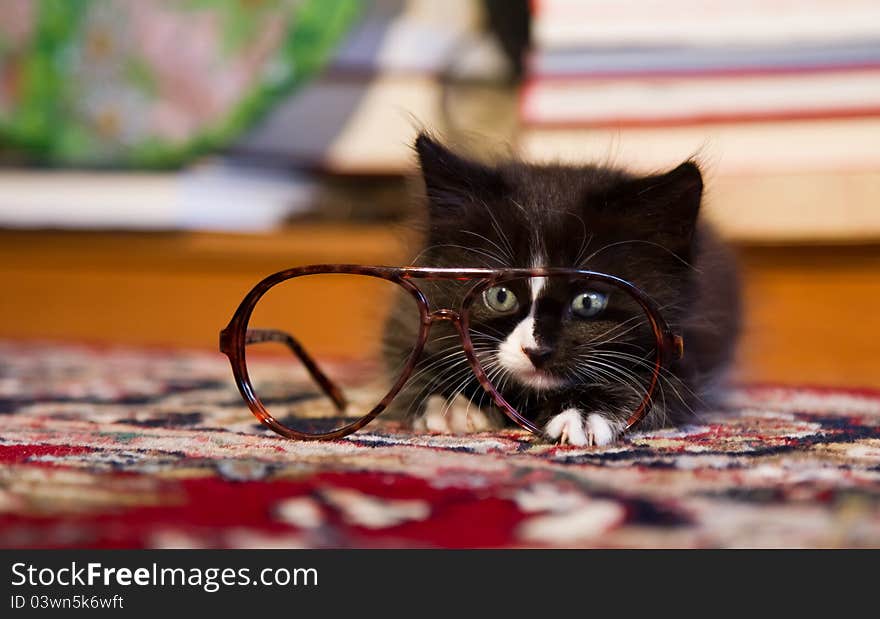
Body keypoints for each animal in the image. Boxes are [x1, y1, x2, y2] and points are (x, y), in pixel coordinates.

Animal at [382, 134, 740, 446]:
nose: (537, 351)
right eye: (500, 296)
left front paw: (584, 410)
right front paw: (451, 403)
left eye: (589, 301)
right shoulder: (409, 314)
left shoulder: (694, 340)